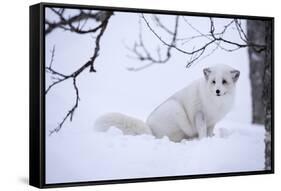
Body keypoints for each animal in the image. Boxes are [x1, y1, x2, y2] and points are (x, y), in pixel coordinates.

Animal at [94, 64, 238, 142]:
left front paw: (211, 138)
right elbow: (202, 131)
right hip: (175, 108)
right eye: (213, 81)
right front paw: (203, 141)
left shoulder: (212, 121)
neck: (216, 102)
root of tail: (150, 130)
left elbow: (209, 131)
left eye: (224, 81)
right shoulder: (199, 114)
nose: (217, 91)